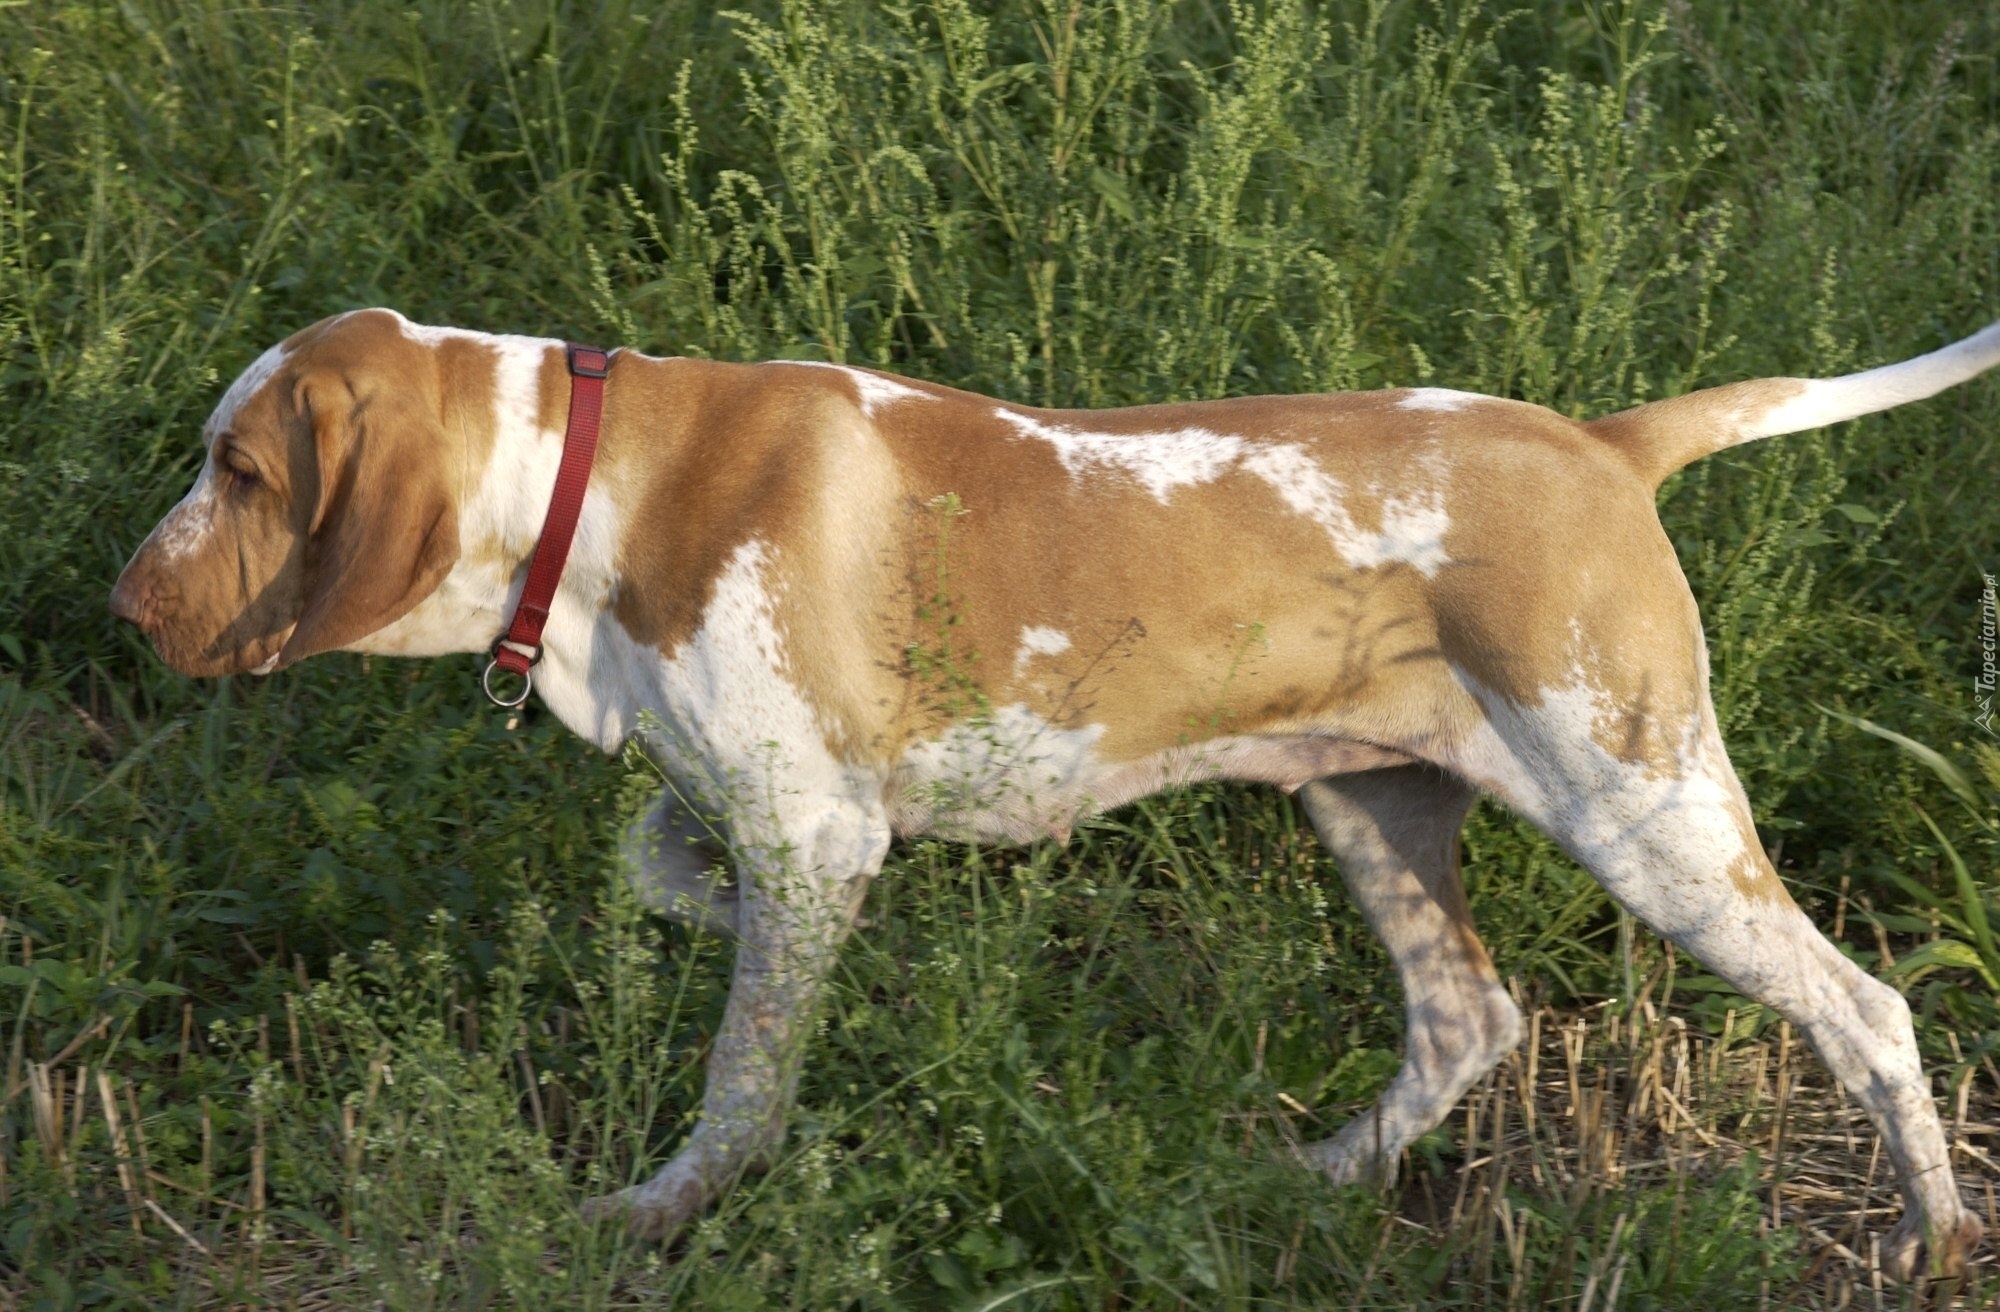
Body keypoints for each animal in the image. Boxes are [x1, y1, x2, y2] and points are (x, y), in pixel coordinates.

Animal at [113, 304, 2000, 1272]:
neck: (596, 478)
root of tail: (1605, 446)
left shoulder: (813, 826)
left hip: (1645, 815)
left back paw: (1935, 1240)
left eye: (239, 469)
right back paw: (1300, 1183)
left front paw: (660, 1214)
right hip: (1373, 806)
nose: (126, 604)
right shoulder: (773, 813)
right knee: (1470, 1020)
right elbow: (679, 882)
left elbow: (736, 1082)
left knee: (1870, 1011)